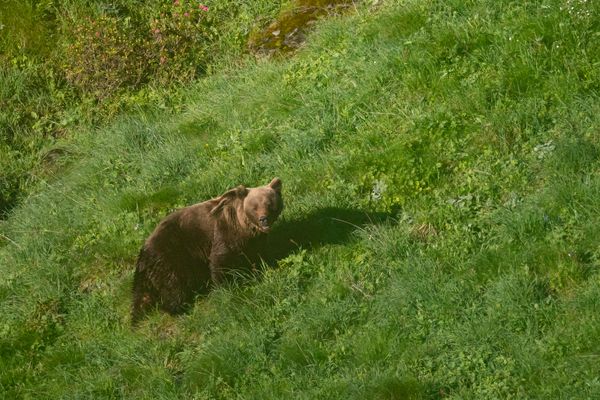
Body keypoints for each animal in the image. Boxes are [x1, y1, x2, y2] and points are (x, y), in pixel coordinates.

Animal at [131, 177, 284, 324]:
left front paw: (263, 267)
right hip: (170, 256)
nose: (264, 219)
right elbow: (220, 261)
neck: (244, 227)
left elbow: (258, 255)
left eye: (269, 204)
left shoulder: (253, 241)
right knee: (172, 287)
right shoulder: (223, 233)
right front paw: (224, 288)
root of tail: (142, 253)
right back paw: (180, 308)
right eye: (254, 207)